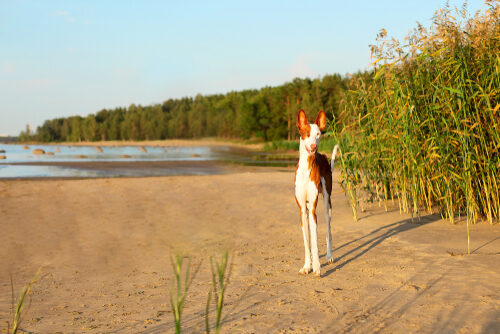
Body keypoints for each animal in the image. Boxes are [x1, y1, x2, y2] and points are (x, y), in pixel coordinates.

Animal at [292, 109, 340, 276]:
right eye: (307, 134)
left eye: (318, 134)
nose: (313, 146)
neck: (306, 169)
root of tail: (323, 157)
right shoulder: (302, 210)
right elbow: (307, 243)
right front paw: (308, 265)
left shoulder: (312, 209)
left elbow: (314, 241)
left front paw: (317, 267)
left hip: (327, 204)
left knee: (328, 232)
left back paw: (329, 256)